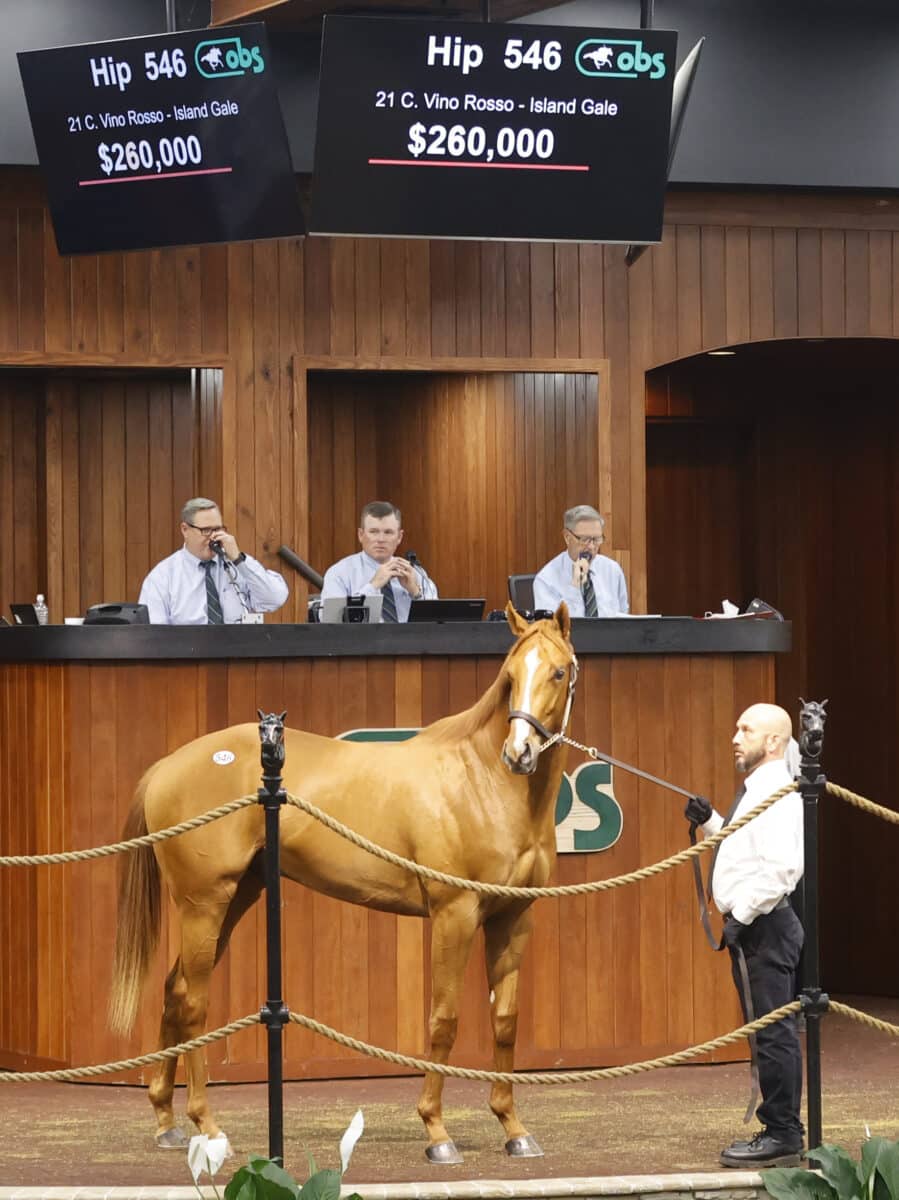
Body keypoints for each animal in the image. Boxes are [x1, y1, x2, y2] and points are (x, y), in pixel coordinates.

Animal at [106, 600, 576, 1161]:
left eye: (559, 672)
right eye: (510, 676)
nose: (519, 753)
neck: (481, 780)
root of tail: (166, 767)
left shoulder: (513, 916)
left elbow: (504, 1019)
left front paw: (513, 1128)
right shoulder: (454, 915)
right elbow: (444, 1019)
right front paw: (436, 1132)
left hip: (235, 898)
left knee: (176, 991)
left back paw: (167, 1120)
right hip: (205, 902)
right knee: (194, 1002)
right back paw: (208, 1126)